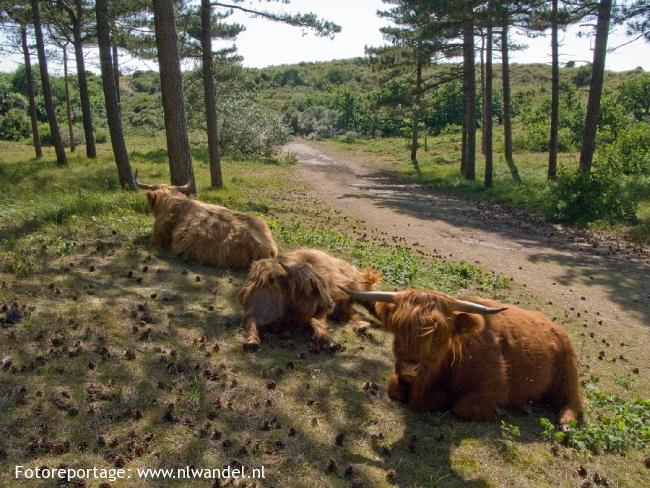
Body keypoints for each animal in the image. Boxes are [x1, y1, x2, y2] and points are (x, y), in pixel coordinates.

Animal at [238, 248, 380, 350]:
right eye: (311, 288)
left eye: (321, 284)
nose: (330, 305)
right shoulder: (253, 312)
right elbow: (252, 323)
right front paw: (252, 341)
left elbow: (317, 323)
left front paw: (331, 343)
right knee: (348, 313)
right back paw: (361, 326)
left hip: (356, 287)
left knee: (371, 303)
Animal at [342, 288, 580, 428]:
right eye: (398, 327)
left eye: (438, 332)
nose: (410, 366)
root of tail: (555, 327)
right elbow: (394, 388)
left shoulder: (494, 387)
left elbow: (461, 406)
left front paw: (500, 411)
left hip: (567, 375)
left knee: (572, 401)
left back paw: (562, 421)